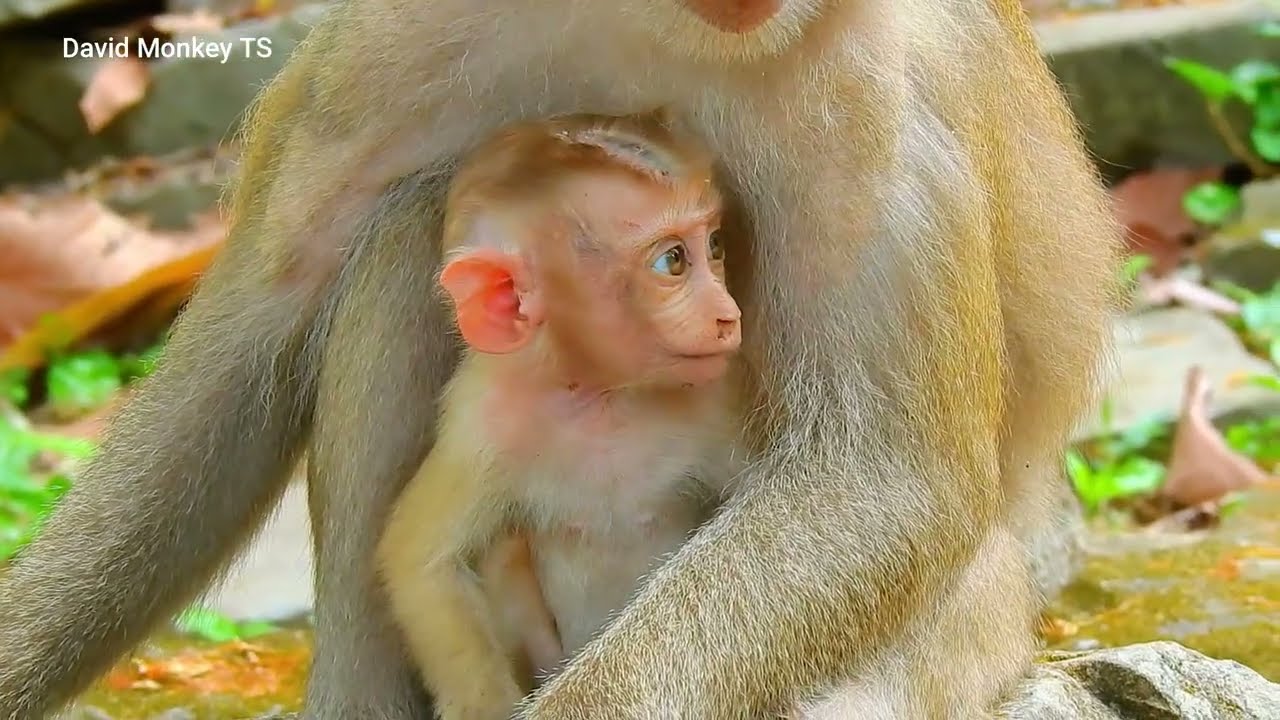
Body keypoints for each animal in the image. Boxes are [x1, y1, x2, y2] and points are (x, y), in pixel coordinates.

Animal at [375, 113, 747, 719]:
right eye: (672, 261)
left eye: (714, 245)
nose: (727, 316)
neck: (597, 395)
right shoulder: (481, 422)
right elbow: (422, 563)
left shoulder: (715, 401)